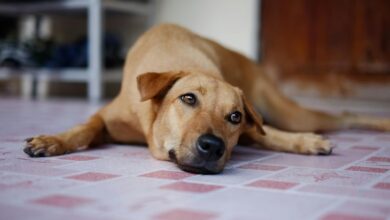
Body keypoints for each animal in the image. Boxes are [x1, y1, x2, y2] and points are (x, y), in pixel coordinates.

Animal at [22, 24, 390, 174]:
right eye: (187, 99)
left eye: (234, 116)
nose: (213, 146)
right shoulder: (107, 117)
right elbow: (84, 128)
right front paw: (52, 140)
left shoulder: (250, 125)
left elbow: (270, 135)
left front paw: (307, 143)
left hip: (286, 112)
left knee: (342, 116)